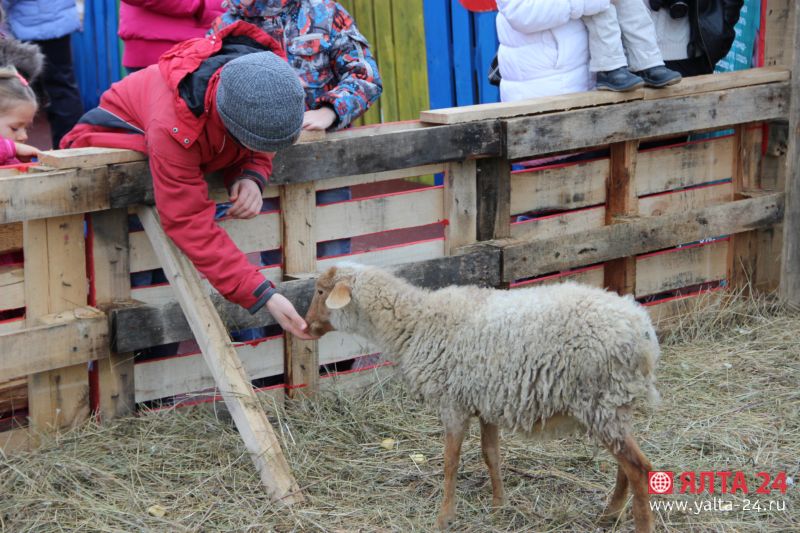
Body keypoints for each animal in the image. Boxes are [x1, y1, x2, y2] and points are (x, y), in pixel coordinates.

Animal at [306, 264, 664, 528]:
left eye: (321, 292)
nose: (307, 327)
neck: (416, 321)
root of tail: (643, 330)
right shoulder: (487, 400)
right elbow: (491, 454)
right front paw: (499, 506)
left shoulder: (452, 403)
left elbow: (450, 461)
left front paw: (445, 517)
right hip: (612, 405)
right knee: (625, 464)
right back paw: (610, 514)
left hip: (600, 402)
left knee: (639, 467)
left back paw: (637, 522)